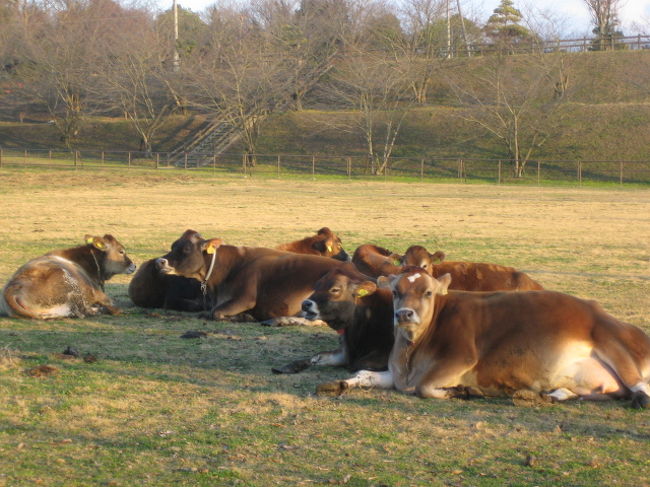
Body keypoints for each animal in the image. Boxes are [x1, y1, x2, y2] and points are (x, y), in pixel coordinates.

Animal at [316, 268, 648, 410]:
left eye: (427, 292)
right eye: (396, 291)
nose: (404, 314)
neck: (410, 354)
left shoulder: (460, 358)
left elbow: (425, 387)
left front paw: (462, 391)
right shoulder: (397, 375)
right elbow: (364, 374)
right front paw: (339, 384)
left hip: (613, 343)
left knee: (640, 389)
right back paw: (536, 396)